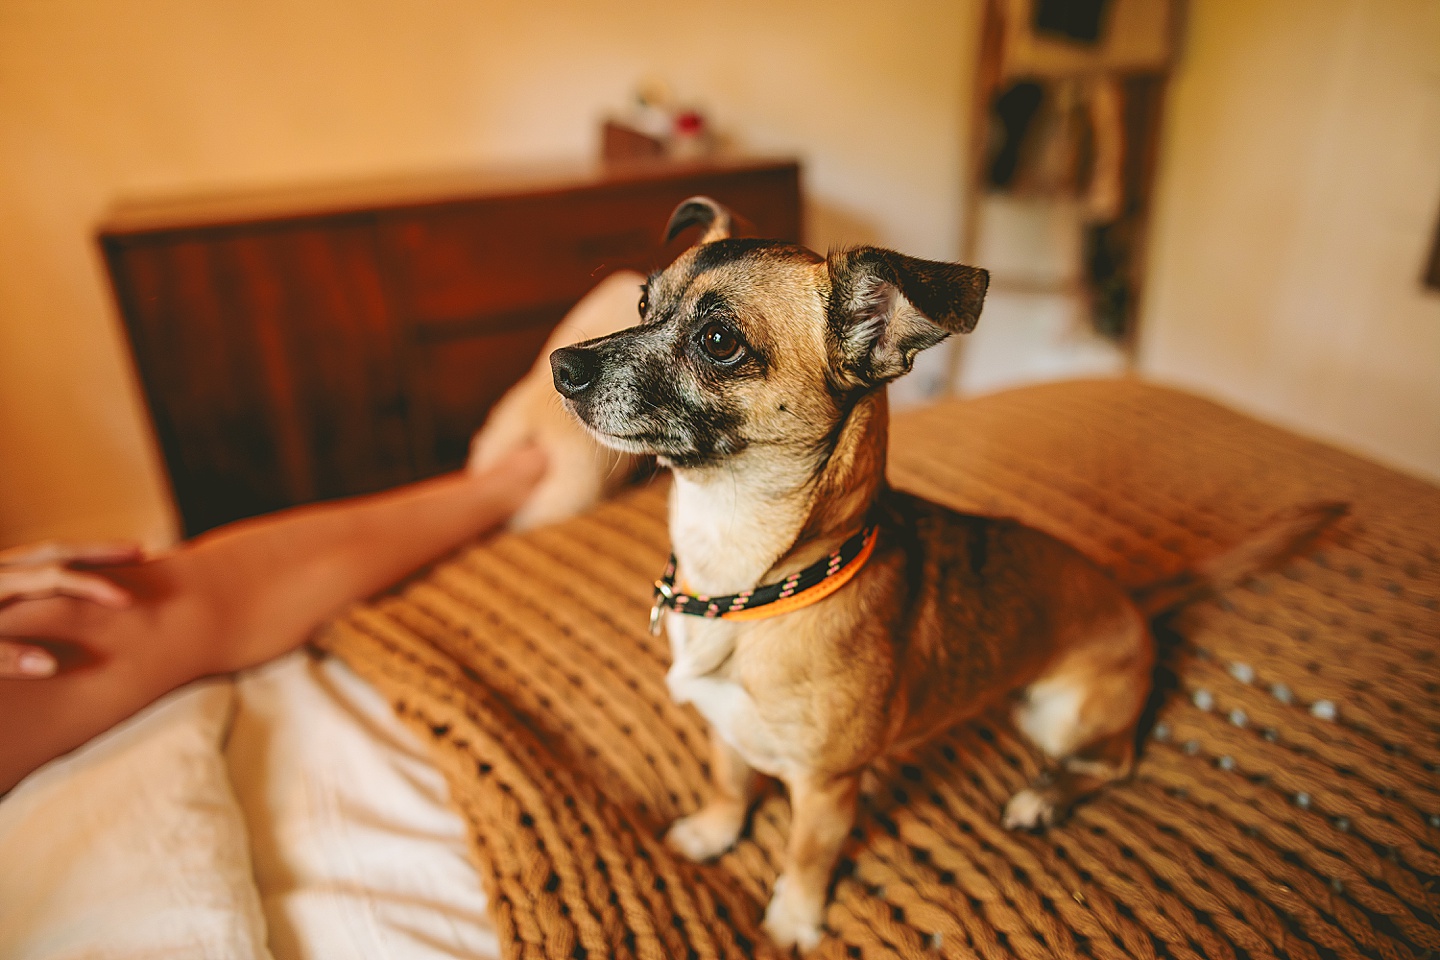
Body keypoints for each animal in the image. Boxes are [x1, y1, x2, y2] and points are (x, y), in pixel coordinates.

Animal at [547, 197, 1336, 955]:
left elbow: (805, 856)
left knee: (1117, 758)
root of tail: (1132, 598)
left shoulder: (827, 789)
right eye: (642, 303)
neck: (740, 577)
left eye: (718, 342)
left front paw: (793, 921)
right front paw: (713, 834)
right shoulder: (726, 731)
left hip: (1061, 715)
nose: (561, 366)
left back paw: (1043, 797)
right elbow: (730, 788)